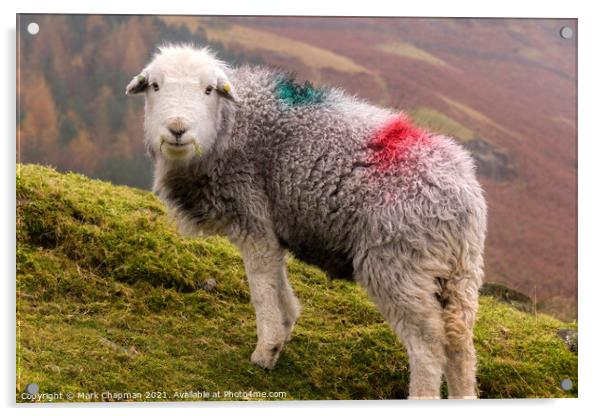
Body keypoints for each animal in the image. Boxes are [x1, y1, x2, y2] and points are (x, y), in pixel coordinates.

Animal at [124, 44, 486, 398]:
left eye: (209, 89)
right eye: (155, 86)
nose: (177, 129)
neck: (233, 124)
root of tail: (463, 198)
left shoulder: (251, 216)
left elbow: (261, 286)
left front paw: (266, 350)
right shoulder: (269, 226)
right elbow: (278, 279)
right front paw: (284, 329)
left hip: (398, 266)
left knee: (429, 345)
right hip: (459, 274)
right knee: (460, 344)